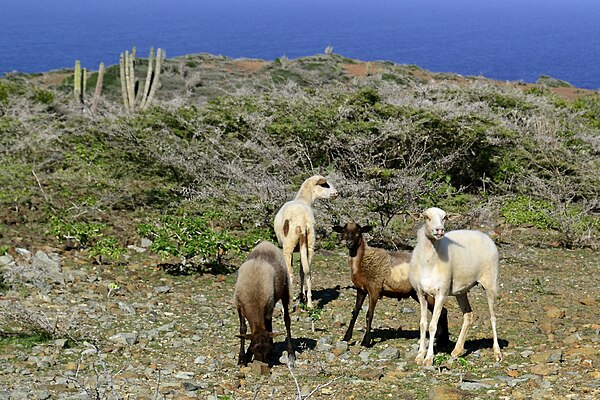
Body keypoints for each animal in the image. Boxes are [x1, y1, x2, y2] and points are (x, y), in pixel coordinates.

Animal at [274, 173, 338, 308]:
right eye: (325, 184)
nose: (336, 193)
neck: (303, 199)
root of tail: (303, 222)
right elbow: (302, 271)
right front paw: (302, 296)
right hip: (310, 245)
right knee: (307, 271)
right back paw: (309, 303)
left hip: (288, 247)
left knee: (290, 273)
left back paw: (289, 304)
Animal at [408, 208, 502, 368]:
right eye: (426, 217)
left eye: (445, 217)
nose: (440, 230)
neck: (429, 260)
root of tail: (485, 235)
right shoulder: (421, 293)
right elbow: (423, 324)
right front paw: (420, 355)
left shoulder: (441, 293)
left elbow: (433, 326)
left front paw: (429, 358)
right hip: (461, 290)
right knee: (468, 315)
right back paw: (457, 350)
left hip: (490, 282)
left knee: (493, 317)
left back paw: (497, 352)